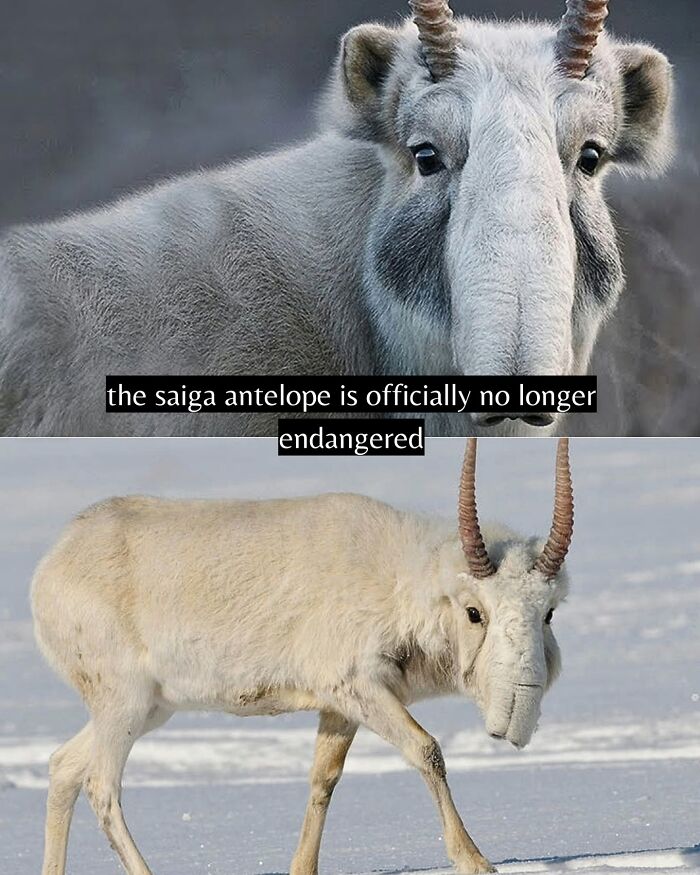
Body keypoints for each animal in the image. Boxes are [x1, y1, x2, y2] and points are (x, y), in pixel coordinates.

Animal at [33, 438, 575, 874]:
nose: (519, 710)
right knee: (101, 787)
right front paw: (476, 861)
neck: (401, 582)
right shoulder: (359, 686)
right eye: (474, 611)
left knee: (64, 765)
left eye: (548, 611)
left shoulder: (341, 707)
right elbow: (427, 750)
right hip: (121, 703)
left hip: (149, 709)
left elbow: (323, 779)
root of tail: (49, 567)